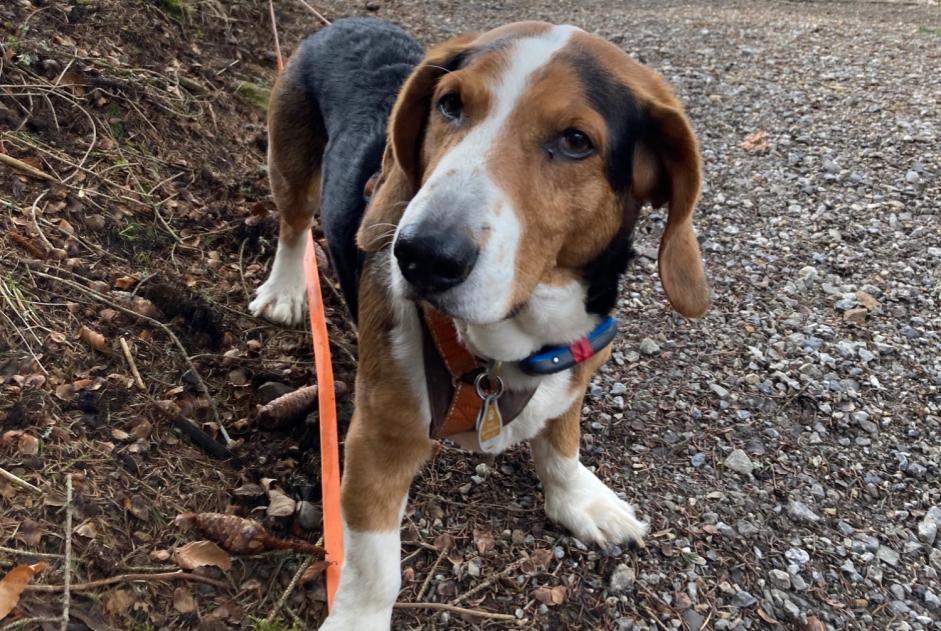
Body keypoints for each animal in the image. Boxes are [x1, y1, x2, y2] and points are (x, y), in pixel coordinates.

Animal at [253, 17, 708, 628]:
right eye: (449, 104)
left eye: (576, 141)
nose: (421, 256)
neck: (512, 344)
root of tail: (350, 21)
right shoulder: (380, 439)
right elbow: (375, 566)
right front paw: (357, 619)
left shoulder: (579, 363)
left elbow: (561, 442)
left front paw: (579, 500)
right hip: (290, 161)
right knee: (293, 225)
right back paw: (283, 290)